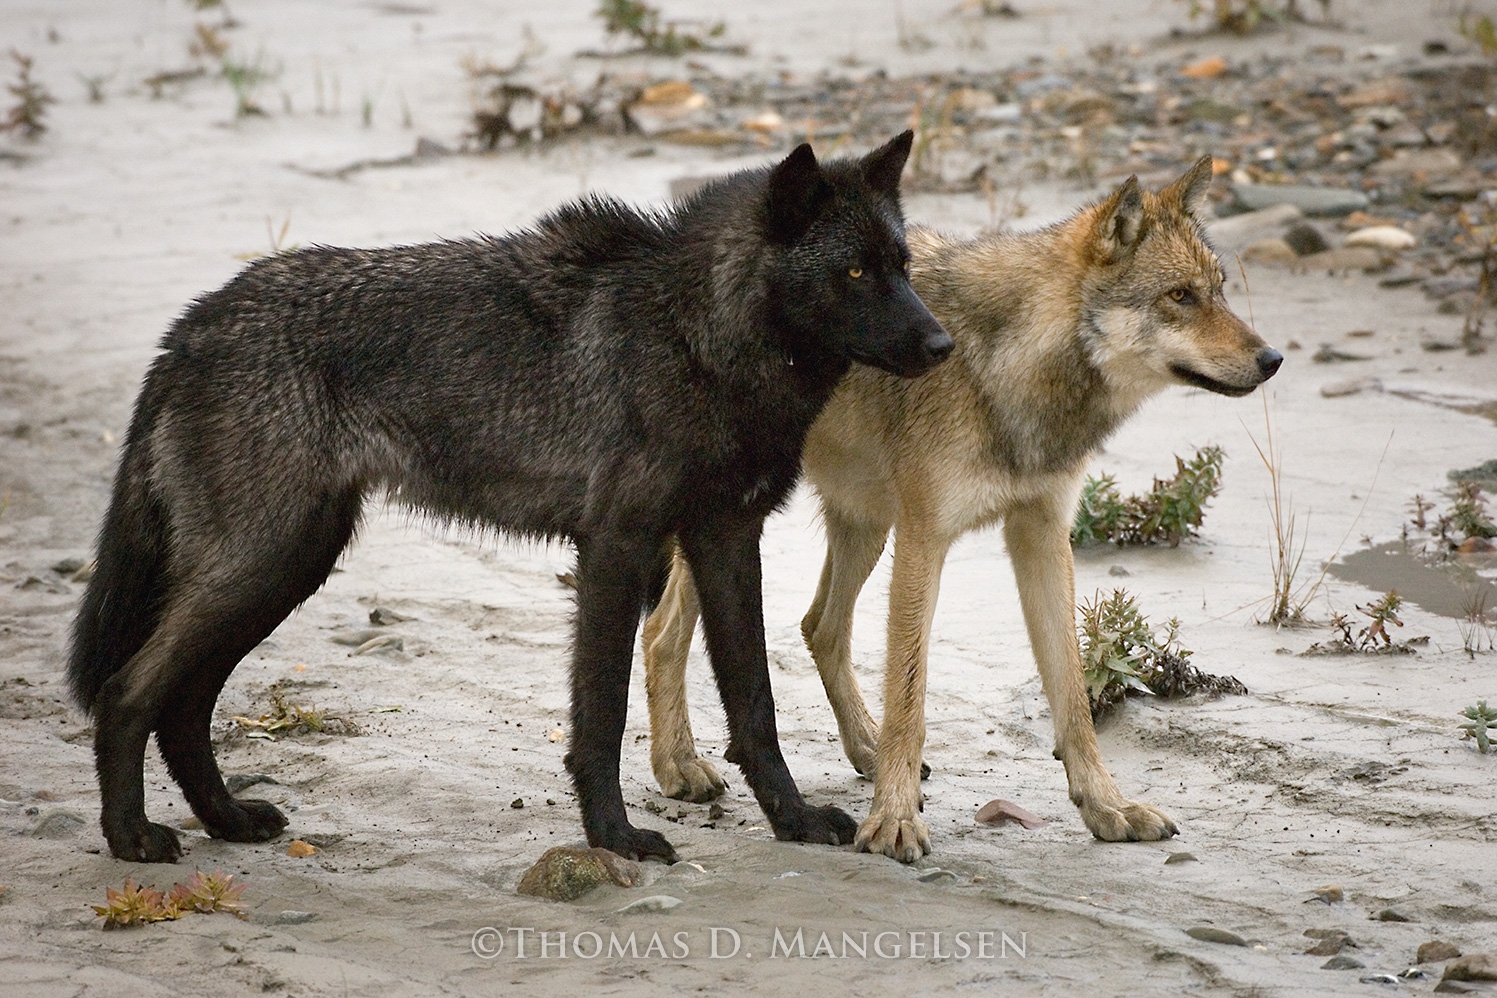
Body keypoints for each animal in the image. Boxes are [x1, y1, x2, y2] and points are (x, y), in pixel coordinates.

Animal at [69, 132, 953, 864]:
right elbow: (601, 713)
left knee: (183, 706)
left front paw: (792, 821)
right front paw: (615, 837)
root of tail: (193, 323)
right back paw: (132, 838)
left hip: (284, 569)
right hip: (262, 566)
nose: (942, 344)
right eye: (852, 273)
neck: (694, 334)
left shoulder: (726, 542)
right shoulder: (614, 551)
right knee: (128, 694)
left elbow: (755, 706)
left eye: (902, 267)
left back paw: (226, 821)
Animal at [640, 157, 1281, 861]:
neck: (1007, 366)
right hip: (744, 523)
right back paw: (679, 768)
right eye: (1180, 297)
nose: (1273, 359)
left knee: (819, 626)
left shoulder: (1042, 534)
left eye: (1218, 290)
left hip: (864, 524)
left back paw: (863, 749)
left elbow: (1073, 698)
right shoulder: (926, 537)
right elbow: (911, 694)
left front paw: (1107, 807)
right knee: (663, 631)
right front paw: (893, 821)